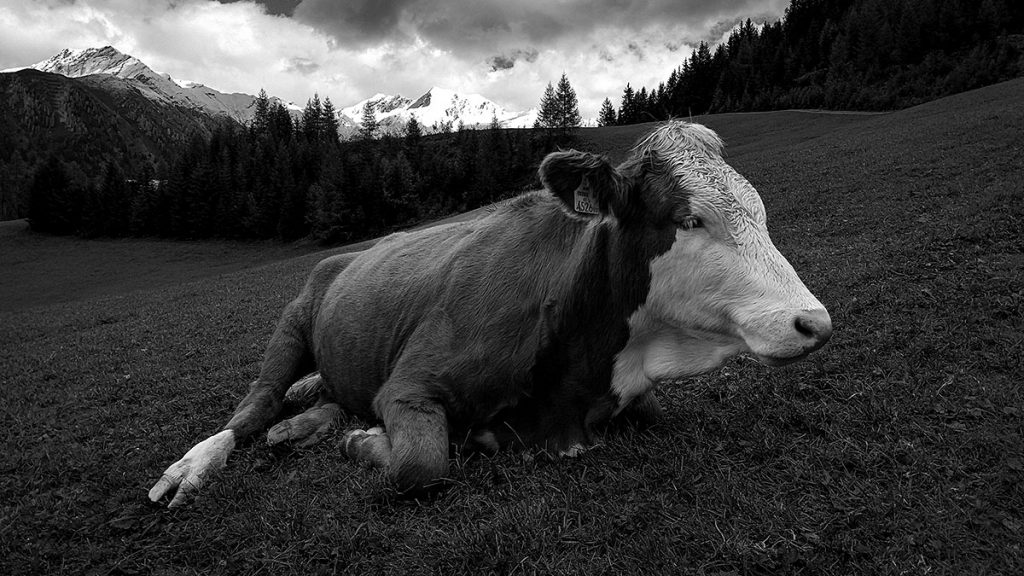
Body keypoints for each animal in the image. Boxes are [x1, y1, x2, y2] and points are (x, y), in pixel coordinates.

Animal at [148, 121, 832, 507]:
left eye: (759, 209)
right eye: (689, 220)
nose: (814, 322)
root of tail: (348, 253)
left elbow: (663, 416)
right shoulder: (410, 386)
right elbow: (421, 465)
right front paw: (365, 442)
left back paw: (303, 423)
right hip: (292, 318)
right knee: (256, 403)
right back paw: (195, 466)